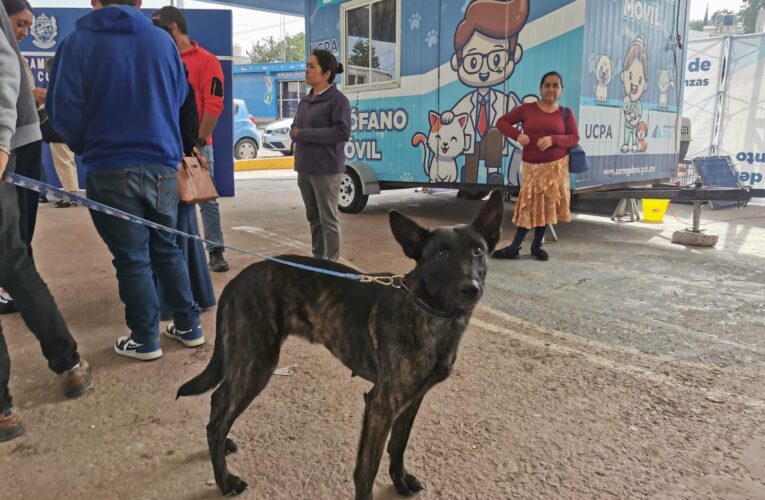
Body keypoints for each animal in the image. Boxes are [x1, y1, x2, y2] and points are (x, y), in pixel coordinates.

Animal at [176, 189, 504, 498]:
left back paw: (223, 445)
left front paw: (399, 480)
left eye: (478, 251)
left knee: (218, 400)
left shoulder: (412, 400)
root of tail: (238, 279)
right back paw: (224, 480)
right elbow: (367, 470)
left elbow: (398, 445)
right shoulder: (382, 404)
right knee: (218, 416)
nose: (471, 289)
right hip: (256, 362)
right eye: (441, 255)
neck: (426, 308)